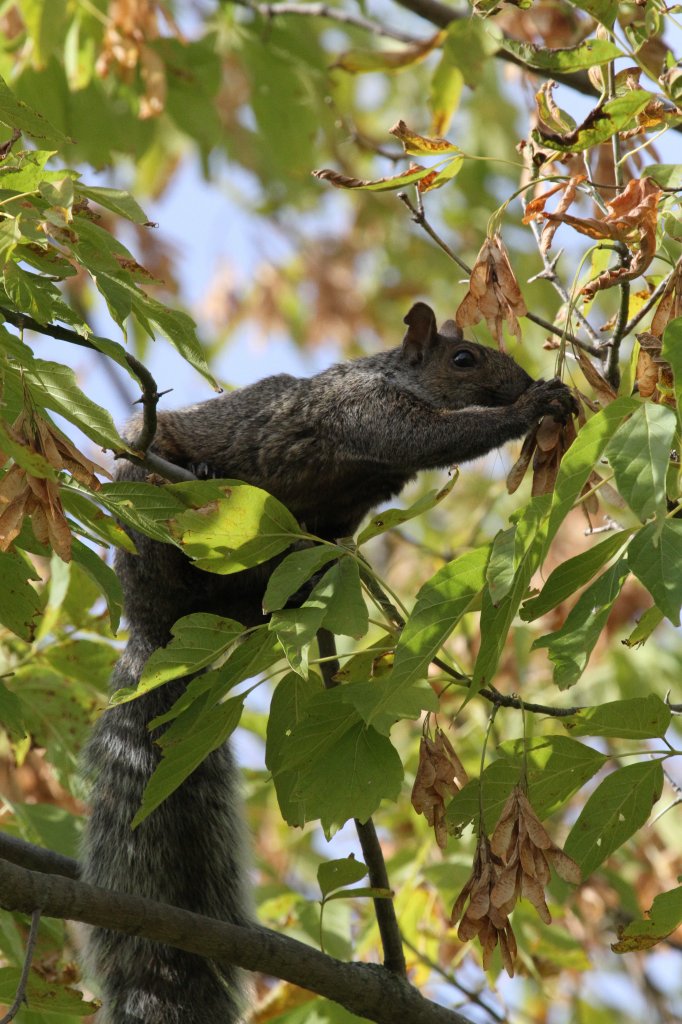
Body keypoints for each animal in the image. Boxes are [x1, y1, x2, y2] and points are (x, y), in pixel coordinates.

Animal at [79, 299, 577, 1019]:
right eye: (464, 359)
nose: (523, 380)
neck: (392, 375)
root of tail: (155, 628)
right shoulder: (361, 413)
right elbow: (429, 437)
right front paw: (533, 407)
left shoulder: (350, 502)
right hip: (142, 504)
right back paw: (196, 485)